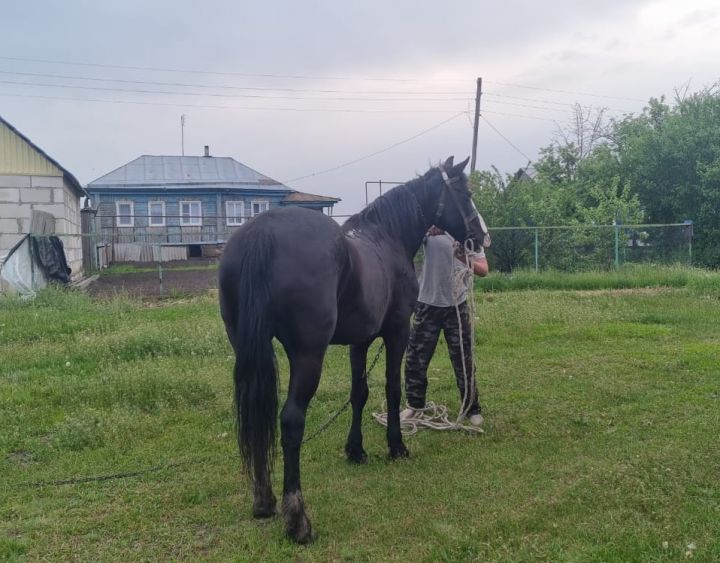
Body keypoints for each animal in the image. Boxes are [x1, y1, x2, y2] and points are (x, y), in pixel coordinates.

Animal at [218, 156, 490, 544]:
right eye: (465, 194)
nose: (480, 237)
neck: (386, 238)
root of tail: (262, 233)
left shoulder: (359, 341)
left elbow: (359, 393)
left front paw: (356, 450)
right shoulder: (397, 332)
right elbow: (392, 390)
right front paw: (396, 446)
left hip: (249, 351)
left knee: (258, 413)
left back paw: (264, 501)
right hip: (307, 356)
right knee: (290, 421)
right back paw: (298, 521)